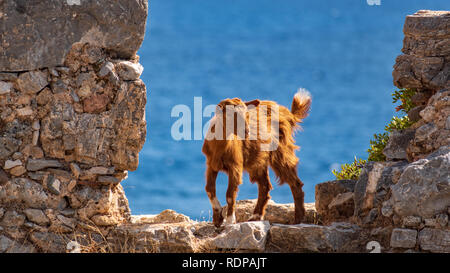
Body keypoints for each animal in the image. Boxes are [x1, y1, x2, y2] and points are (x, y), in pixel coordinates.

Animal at [202, 88, 312, 225]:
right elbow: (209, 189)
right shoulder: (211, 164)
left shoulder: (235, 166)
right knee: (265, 186)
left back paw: (298, 219)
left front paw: (230, 220)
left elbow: (230, 194)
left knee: (295, 182)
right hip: (258, 161)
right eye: (230, 115)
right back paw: (256, 216)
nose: (247, 132)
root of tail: (288, 114)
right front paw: (217, 219)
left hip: (281, 152)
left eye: (246, 114)